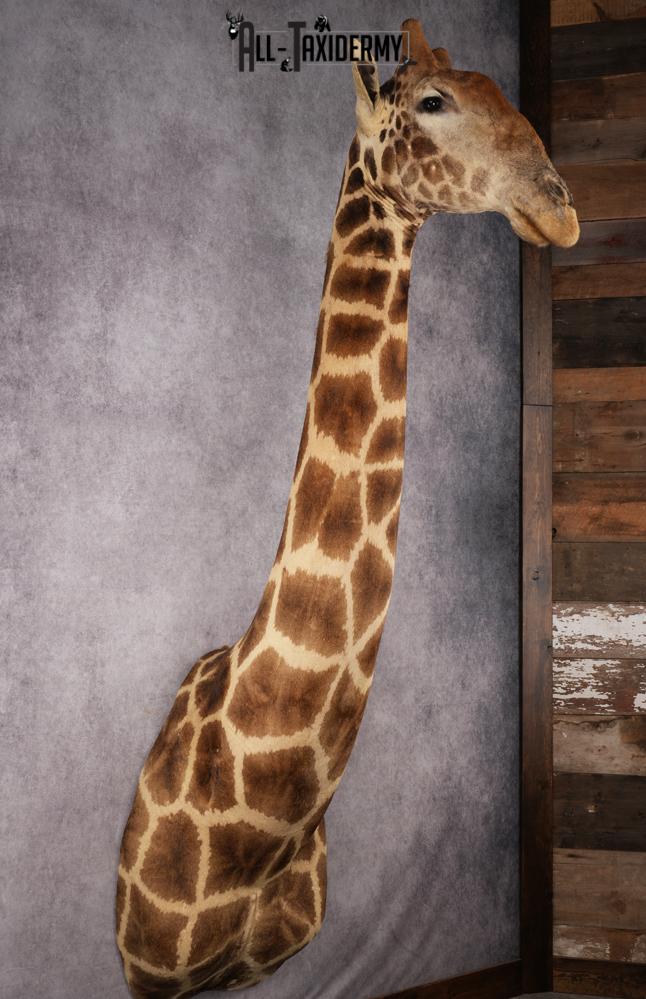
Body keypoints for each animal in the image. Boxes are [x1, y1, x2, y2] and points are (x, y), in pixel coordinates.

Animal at [116, 18, 578, 999]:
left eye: (505, 92)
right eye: (434, 101)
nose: (559, 206)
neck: (256, 838)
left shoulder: (262, 966)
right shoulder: (155, 974)